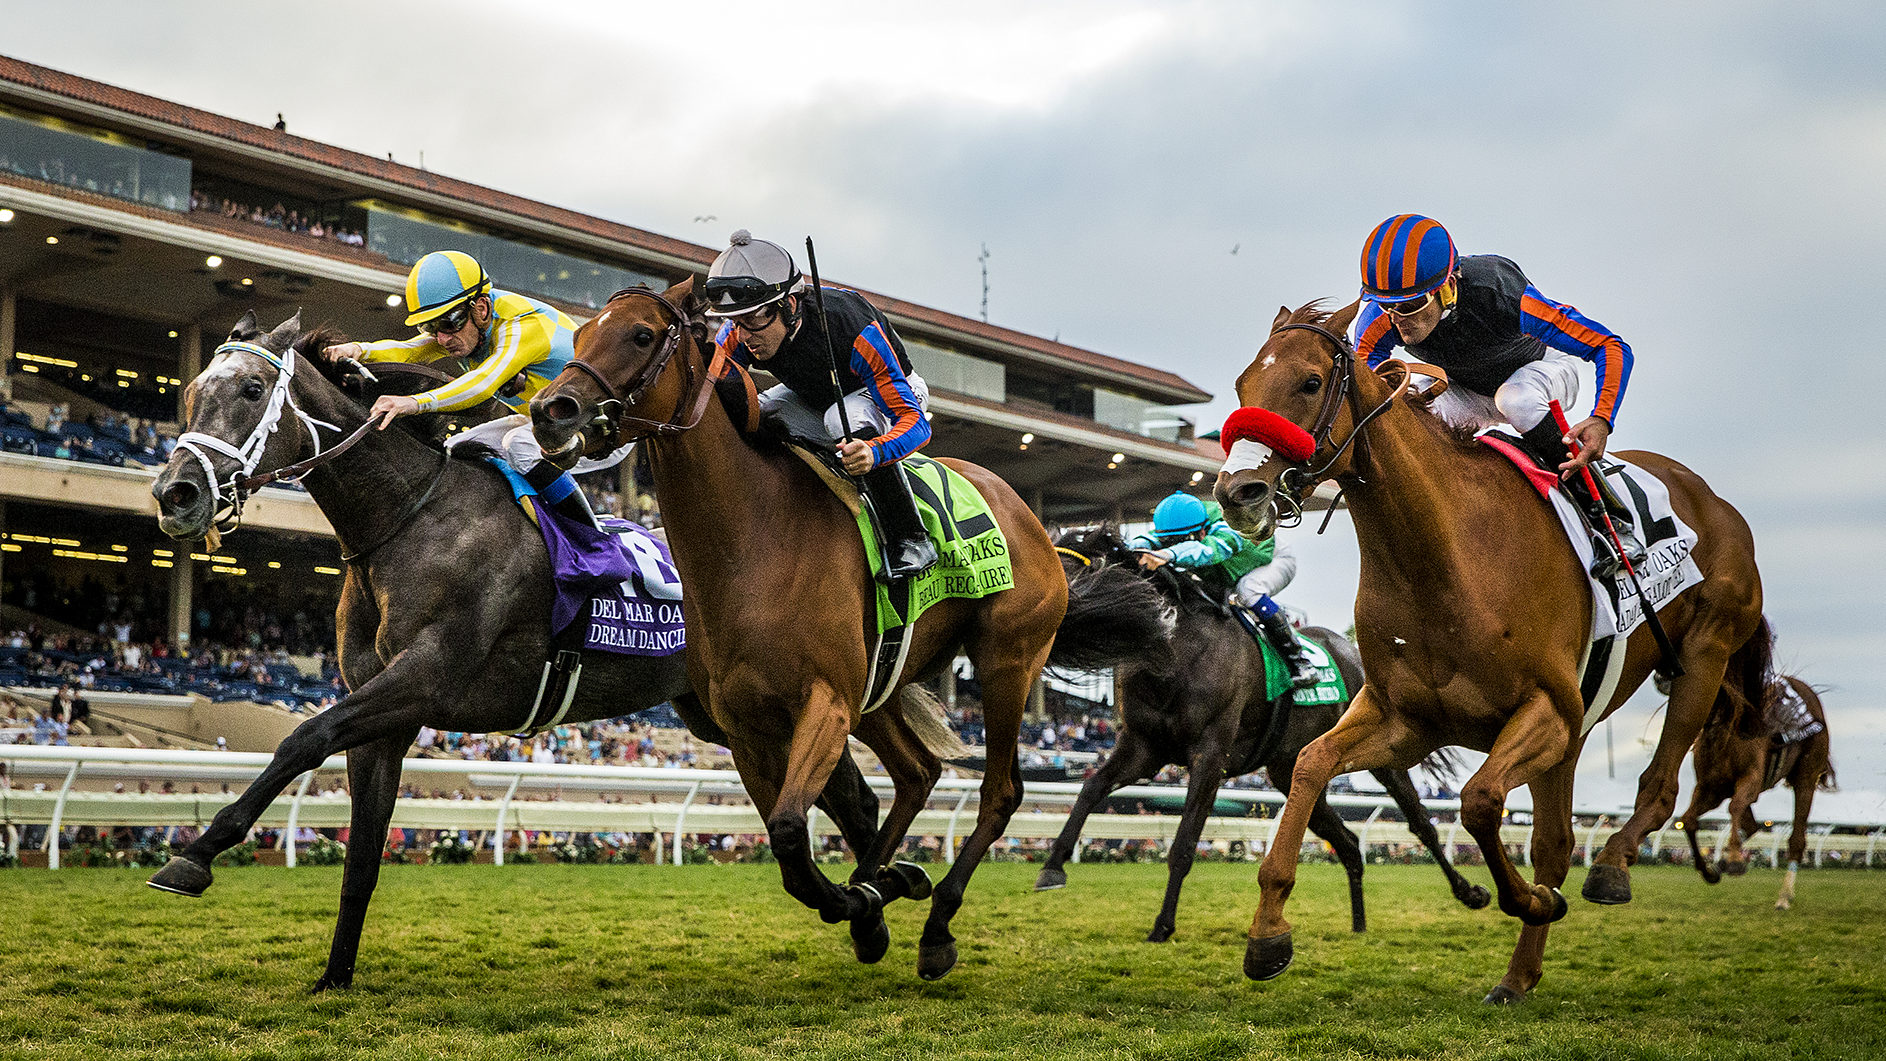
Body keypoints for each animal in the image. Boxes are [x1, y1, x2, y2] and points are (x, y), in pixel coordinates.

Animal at [145, 310, 882, 990]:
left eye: (251, 388)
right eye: (191, 391)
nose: (175, 493)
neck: (408, 516)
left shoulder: (423, 678)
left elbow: (303, 736)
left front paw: (194, 855)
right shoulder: (387, 719)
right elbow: (360, 857)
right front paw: (335, 977)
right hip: (728, 715)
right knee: (850, 799)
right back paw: (872, 908)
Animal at [527, 279, 1165, 980]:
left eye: (641, 335)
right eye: (582, 334)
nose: (550, 410)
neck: (752, 540)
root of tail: (1037, 525)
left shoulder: (825, 703)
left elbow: (788, 833)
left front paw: (867, 899)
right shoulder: (747, 729)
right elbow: (790, 844)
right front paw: (871, 899)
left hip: (1007, 663)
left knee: (999, 792)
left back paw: (935, 923)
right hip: (882, 685)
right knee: (917, 775)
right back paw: (891, 881)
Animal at [1033, 524, 1488, 943]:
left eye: (1081, 565)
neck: (1173, 654)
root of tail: (1357, 655)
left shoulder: (1210, 755)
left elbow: (1184, 844)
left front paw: (1163, 925)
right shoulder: (1143, 748)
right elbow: (1090, 790)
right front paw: (1052, 869)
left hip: (1380, 755)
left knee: (1421, 825)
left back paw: (1470, 893)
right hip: (1290, 771)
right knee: (1346, 841)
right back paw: (1358, 924)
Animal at [1213, 301, 1769, 1003]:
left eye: (1311, 382)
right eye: (1241, 386)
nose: (1238, 492)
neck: (1445, 554)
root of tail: (1715, 501)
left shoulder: (1546, 711)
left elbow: (1478, 801)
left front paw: (1533, 898)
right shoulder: (1406, 720)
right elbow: (1310, 766)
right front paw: (1267, 936)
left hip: (1703, 655)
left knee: (1660, 786)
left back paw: (1610, 868)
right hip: (1577, 731)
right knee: (1557, 840)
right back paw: (1519, 975)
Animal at [1678, 671, 1835, 909]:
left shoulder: (1750, 781)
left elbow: (1734, 807)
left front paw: (1734, 862)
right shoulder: (1710, 789)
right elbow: (1688, 821)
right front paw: (1710, 871)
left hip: (1806, 778)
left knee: (1796, 839)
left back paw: (1784, 896)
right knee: (1751, 826)